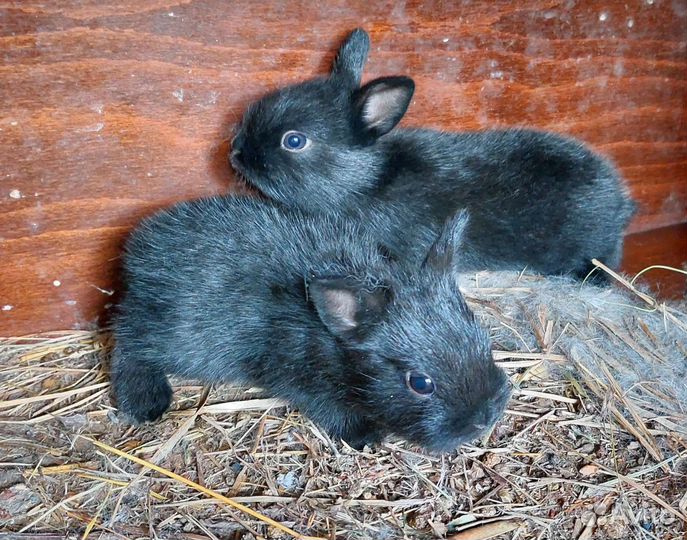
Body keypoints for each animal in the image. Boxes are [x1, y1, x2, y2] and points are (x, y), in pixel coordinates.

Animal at [111, 196, 511, 453]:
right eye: (420, 383)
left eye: (483, 341)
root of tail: (140, 249)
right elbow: (332, 409)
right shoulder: (302, 379)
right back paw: (145, 401)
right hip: (177, 337)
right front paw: (366, 437)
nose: (486, 416)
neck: (328, 337)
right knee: (127, 338)